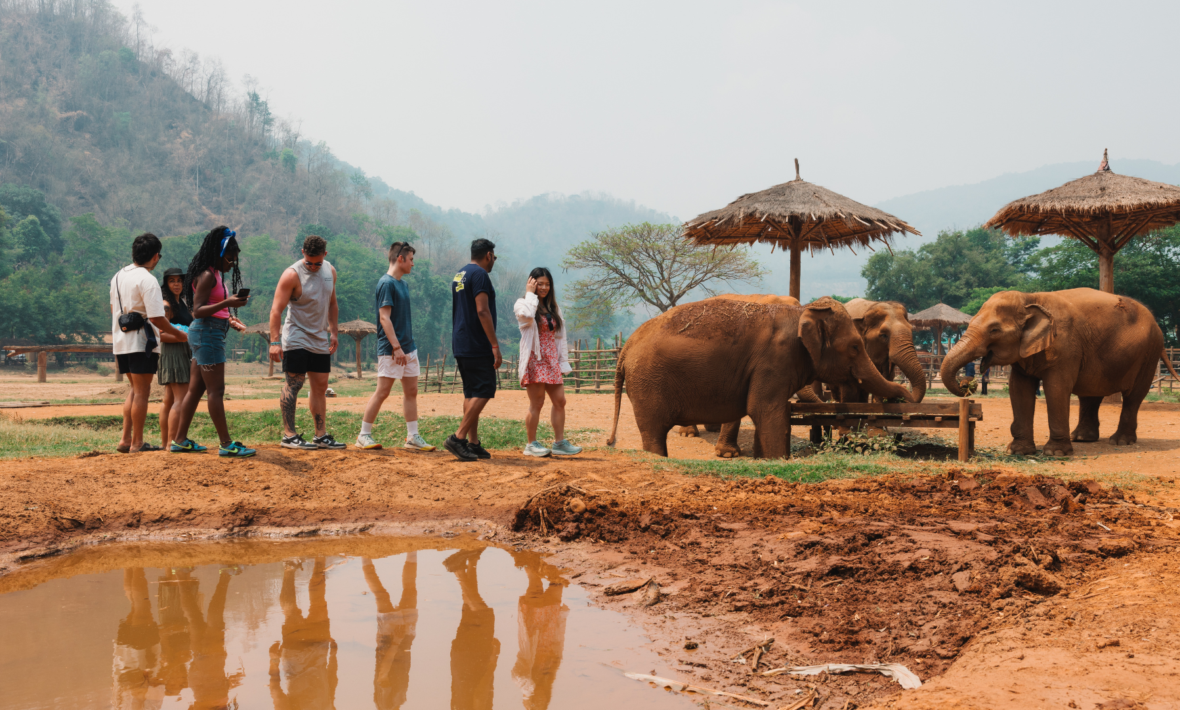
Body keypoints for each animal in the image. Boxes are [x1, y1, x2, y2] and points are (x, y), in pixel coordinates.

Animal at [607, 296, 917, 458]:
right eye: (854, 347)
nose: (907, 397)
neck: (802, 311)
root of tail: (626, 347)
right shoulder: (773, 360)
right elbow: (765, 409)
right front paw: (778, 459)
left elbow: (766, 411)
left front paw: (763, 458)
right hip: (647, 382)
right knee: (653, 430)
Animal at [940, 288, 1180, 457]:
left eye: (994, 330)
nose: (967, 385)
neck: (1030, 297)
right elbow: (1019, 389)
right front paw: (1018, 451)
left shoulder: (1065, 346)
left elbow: (1056, 388)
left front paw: (1055, 453)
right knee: (1091, 393)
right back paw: (1081, 438)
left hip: (1148, 352)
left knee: (1133, 396)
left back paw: (1120, 441)